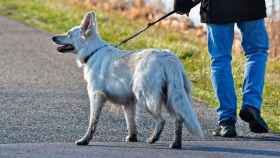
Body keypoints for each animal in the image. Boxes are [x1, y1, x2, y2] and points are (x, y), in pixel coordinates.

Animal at [52, 11, 203, 149]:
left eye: (68, 34)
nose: (53, 37)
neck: (93, 52)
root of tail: (168, 57)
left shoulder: (96, 96)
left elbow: (92, 122)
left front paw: (85, 140)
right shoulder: (128, 102)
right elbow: (131, 122)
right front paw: (132, 138)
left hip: (145, 97)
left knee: (162, 120)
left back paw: (153, 139)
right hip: (170, 97)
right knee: (179, 118)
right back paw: (176, 143)